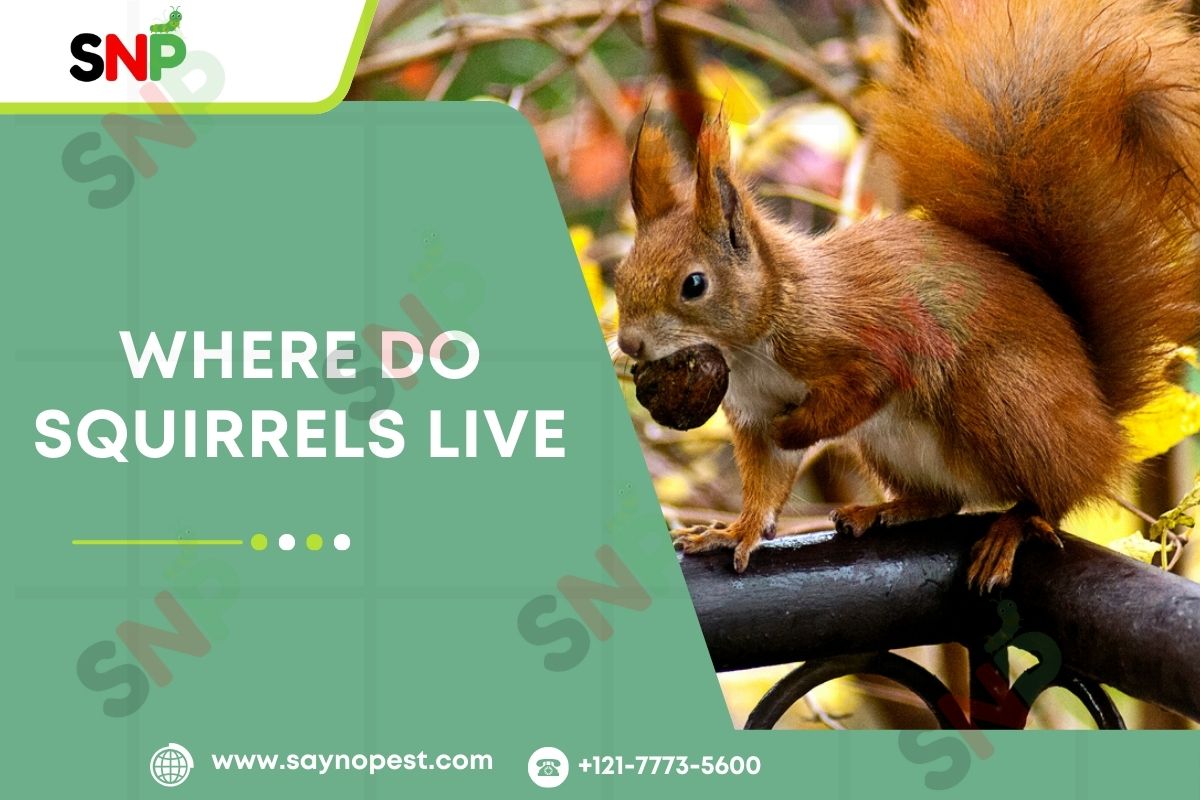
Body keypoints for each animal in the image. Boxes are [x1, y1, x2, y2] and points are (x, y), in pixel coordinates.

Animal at [614, 0, 1200, 590]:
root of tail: (1101, 421)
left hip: (1004, 400)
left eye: (694, 285)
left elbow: (867, 385)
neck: (756, 338)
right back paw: (885, 510)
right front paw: (734, 531)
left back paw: (1014, 526)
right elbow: (765, 482)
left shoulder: (863, 337)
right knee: (946, 501)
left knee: (1053, 497)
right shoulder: (751, 414)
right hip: (894, 447)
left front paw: (797, 428)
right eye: (620, 277)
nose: (631, 345)